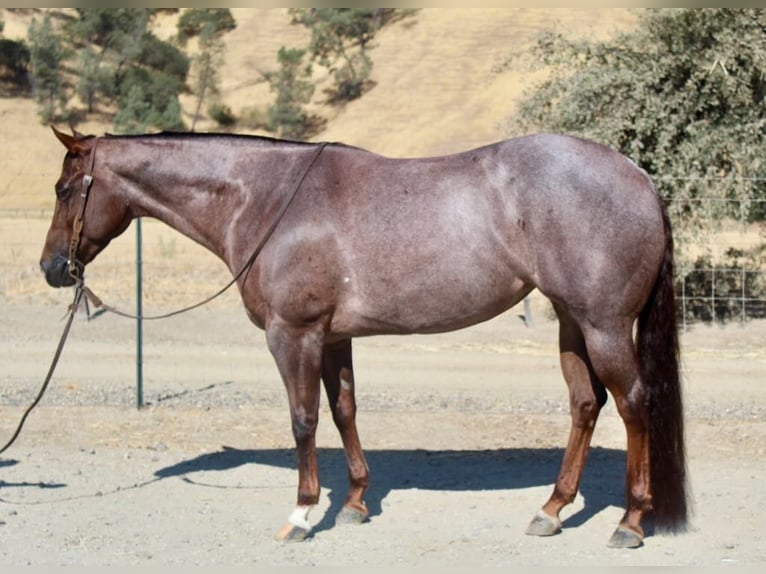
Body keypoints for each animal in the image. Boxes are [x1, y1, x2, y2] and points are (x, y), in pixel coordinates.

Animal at [40, 128, 688, 552]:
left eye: (65, 189)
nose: (52, 268)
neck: (269, 198)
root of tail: (638, 176)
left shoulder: (292, 334)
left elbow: (303, 419)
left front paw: (304, 514)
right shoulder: (332, 338)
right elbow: (344, 410)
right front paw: (353, 503)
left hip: (604, 325)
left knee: (633, 404)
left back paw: (630, 522)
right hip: (571, 321)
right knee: (586, 404)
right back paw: (551, 511)